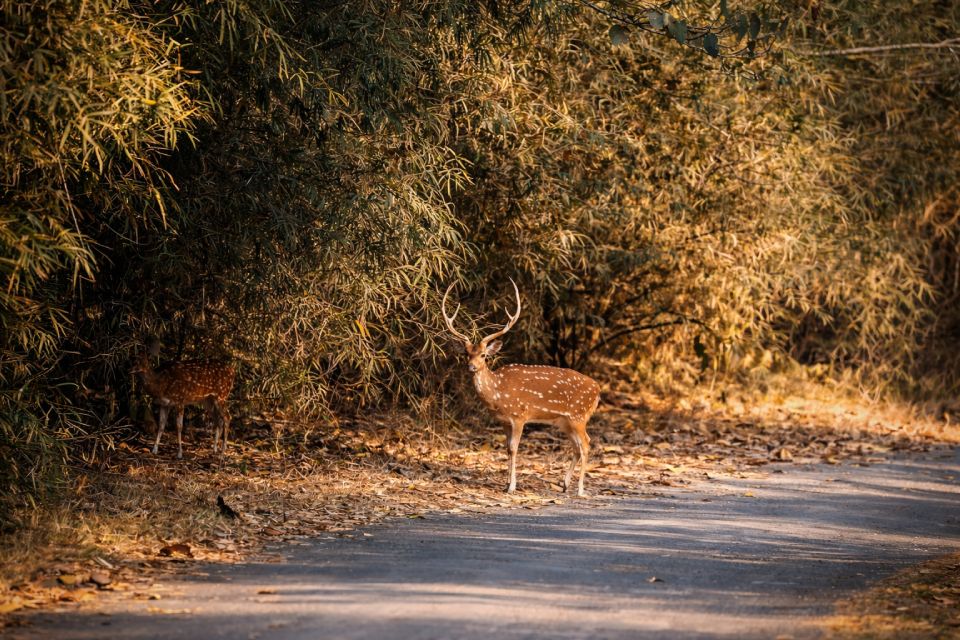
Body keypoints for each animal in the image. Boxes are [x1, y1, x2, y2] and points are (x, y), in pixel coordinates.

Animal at [442, 280, 601, 496]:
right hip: (565, 421)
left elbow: (514, 448)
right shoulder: (503, 421)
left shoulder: (519, 416)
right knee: (578, 446)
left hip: (579, 415)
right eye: (466, 354)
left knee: (586, 443)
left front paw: (511, 487)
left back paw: (580, 489)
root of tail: (598, 389)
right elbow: (506, 449)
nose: (471, 367)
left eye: (483, 355)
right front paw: (506, 483)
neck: (498, 394)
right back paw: (565, 484)